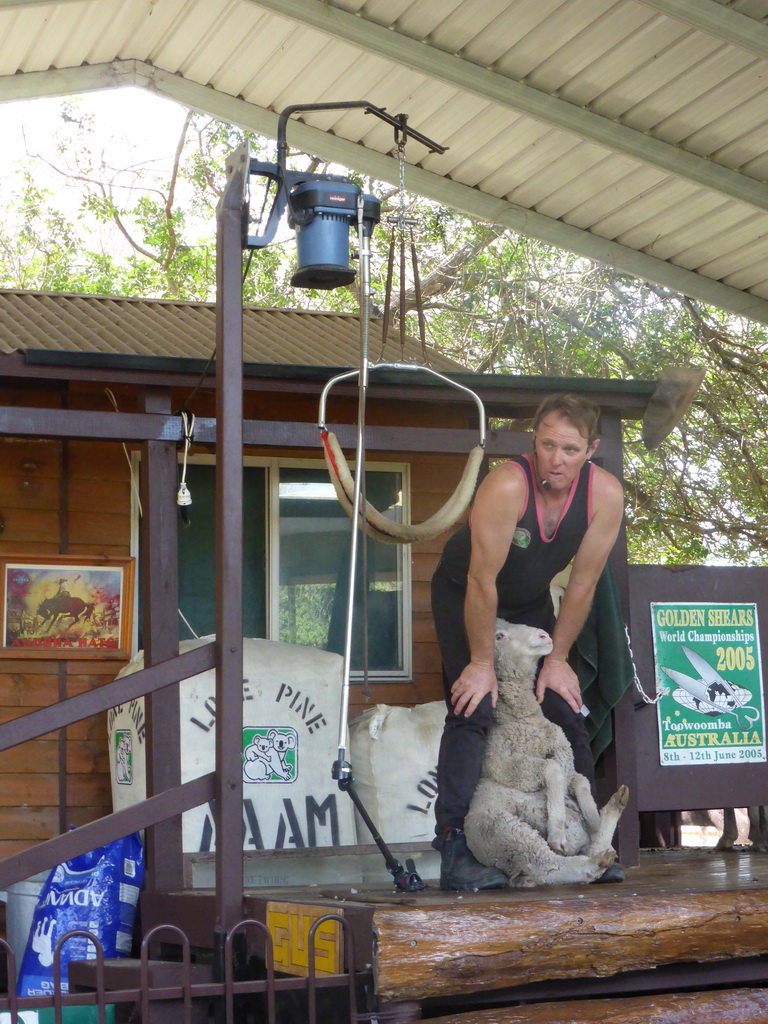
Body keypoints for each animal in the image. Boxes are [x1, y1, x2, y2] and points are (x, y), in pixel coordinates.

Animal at [466, 618, 626, 884]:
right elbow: (552, 769)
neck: (522, 718)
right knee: (554, 865)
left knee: (589, 847)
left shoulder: (563, 749)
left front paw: (592, 816)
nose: (543, 635)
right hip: (508, 834)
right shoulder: (499, 760)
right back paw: (592, 856)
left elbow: (579, 779)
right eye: (499, 636)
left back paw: (610, 813)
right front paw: (558, 828)